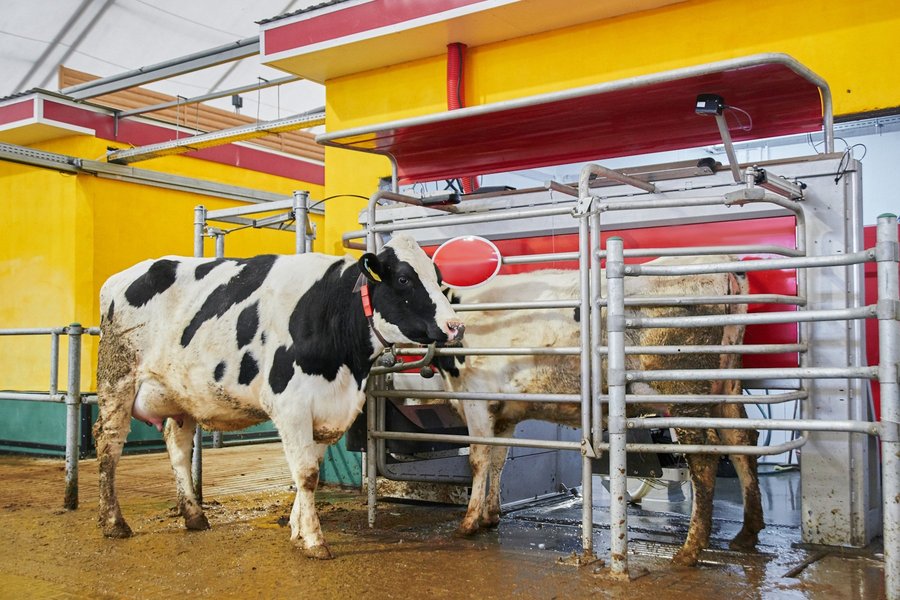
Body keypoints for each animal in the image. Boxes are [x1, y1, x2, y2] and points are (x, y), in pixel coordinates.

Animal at [93, 235, 464, 559]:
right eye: (403, 278)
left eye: (438, 277)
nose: (455, 326)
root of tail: (122, 276)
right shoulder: (291, 404)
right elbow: (306, 473)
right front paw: (313, 540)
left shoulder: (326, 410)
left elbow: (309, 471)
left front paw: (297, 531)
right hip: (117, 379)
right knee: (108, 445)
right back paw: (114, 522)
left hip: (179, 394)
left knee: (178, 449)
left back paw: (194, 516)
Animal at [435, 256, 762, 566]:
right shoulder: (504, 412)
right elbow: (498, 460)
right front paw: (491, 516)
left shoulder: (475, 396)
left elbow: (479, 459)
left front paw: (468, 522)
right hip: (726, 387)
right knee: (740, 441)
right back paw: (747, 534)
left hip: (683, 388)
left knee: (704, 457)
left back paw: (690, 550)